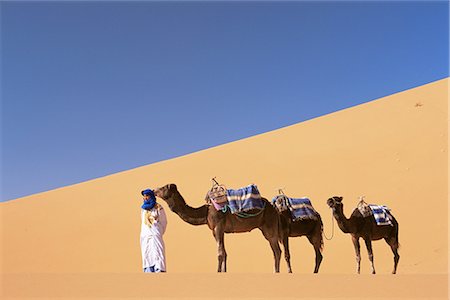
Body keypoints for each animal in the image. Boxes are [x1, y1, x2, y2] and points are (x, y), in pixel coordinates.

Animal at [153, 184, 284, 274]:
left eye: (163, 187)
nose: (153, 190)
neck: (205, 212)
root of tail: (274, 207)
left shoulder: (218, 226)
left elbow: (220, 253)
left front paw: (217, 272)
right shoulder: (215, 231)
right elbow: (224, 253)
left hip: (270, 227)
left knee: (277, 251)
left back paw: (276, 272)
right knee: (276, 251)